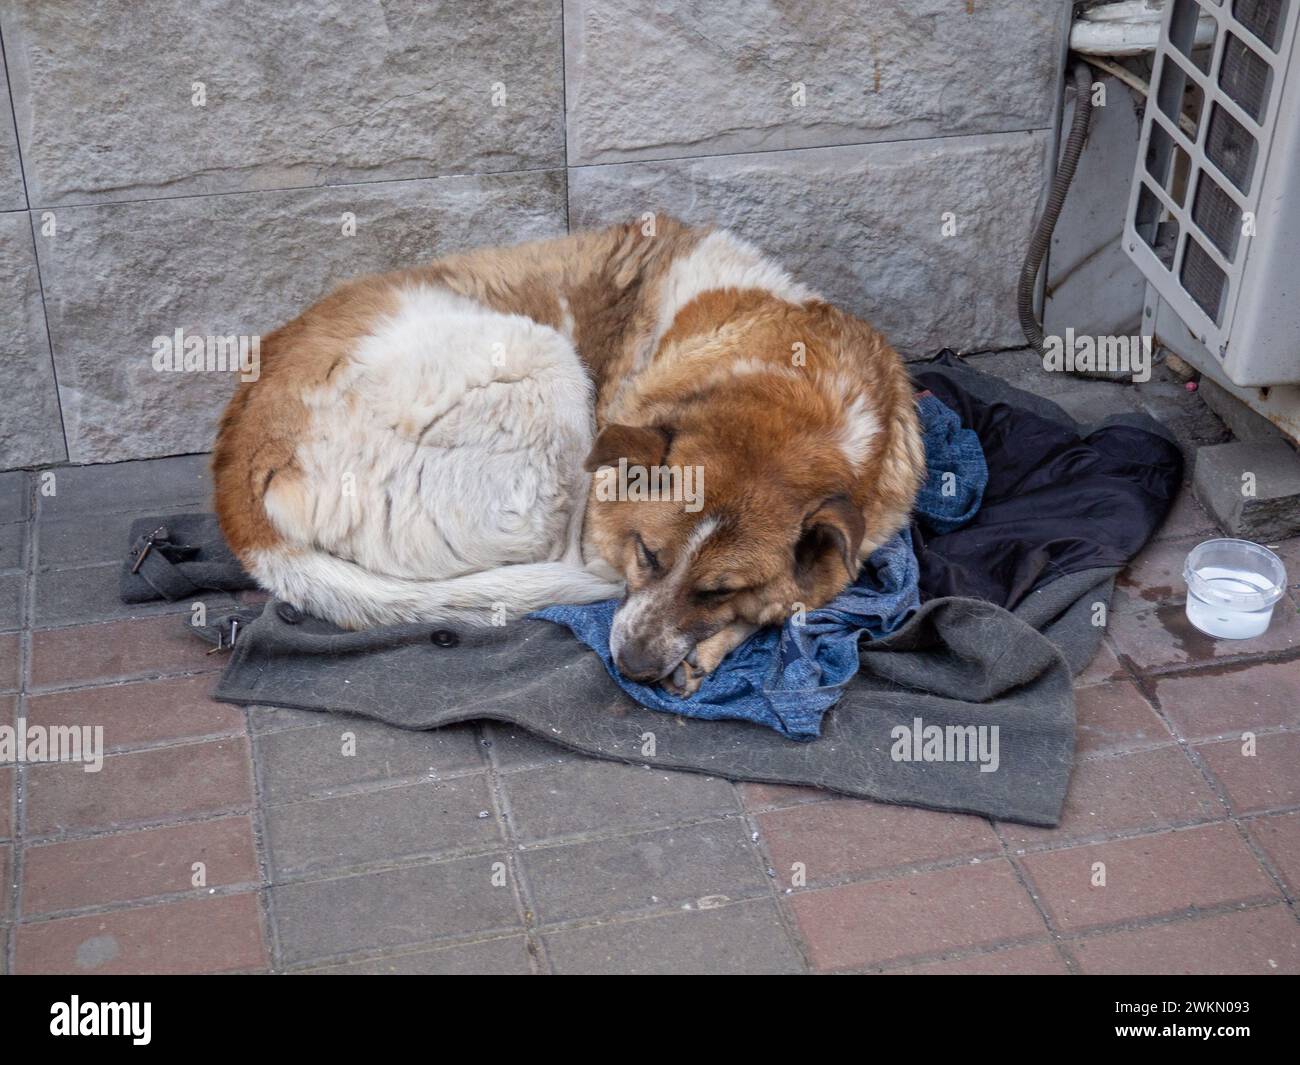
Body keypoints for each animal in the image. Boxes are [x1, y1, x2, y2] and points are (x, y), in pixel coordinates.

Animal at [213, 221, 925, 696]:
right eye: (647, 555)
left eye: (718, 589)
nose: (633, 667)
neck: (804, 391)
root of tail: (239, 482)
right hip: (543, 366)